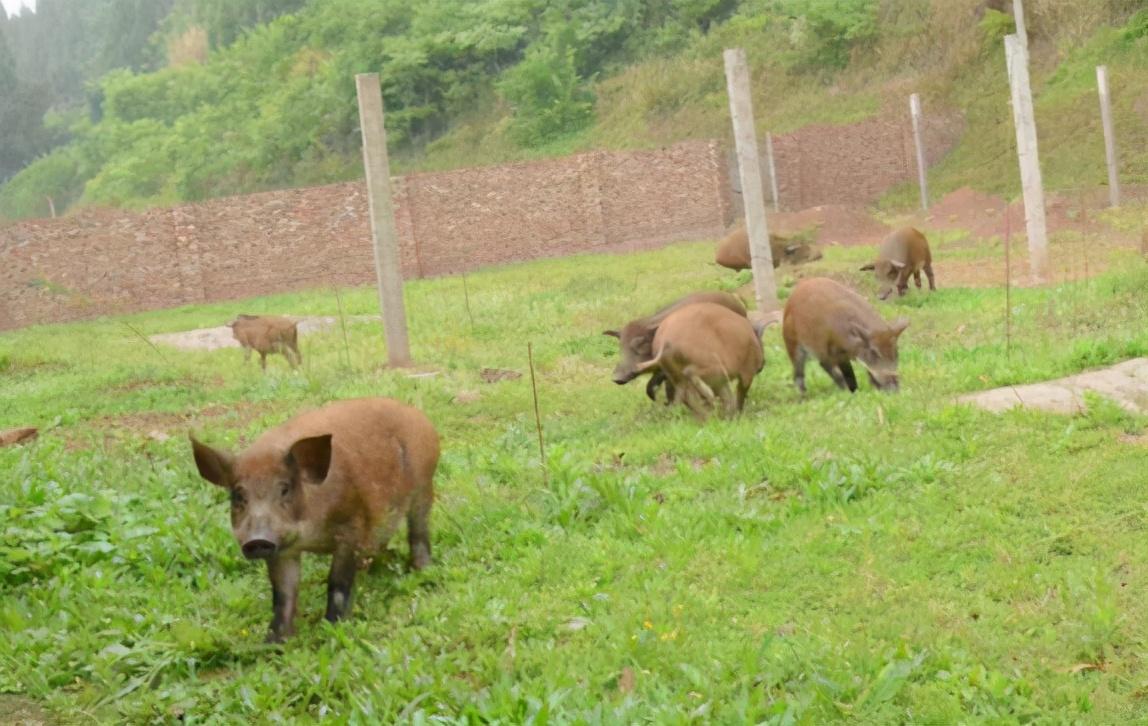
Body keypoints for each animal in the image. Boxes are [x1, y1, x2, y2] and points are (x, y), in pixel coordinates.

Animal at [188, 397, 438, 638]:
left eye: (285, 489)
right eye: (238, 495)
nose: (257, 539)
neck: (311, 538)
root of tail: (419, 417)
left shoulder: (350, 528)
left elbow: (337, 582)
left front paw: (332, 628)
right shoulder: (282, 550)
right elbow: (283, 594)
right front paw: (274, 642)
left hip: (424, 485)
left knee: (419, 530)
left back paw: (422, 570)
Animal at [629, 300, 762, 422]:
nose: (761, 366)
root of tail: (664, 344)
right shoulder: (745, 372)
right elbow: (739, 394)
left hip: (677, 376)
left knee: (685, 396)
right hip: (711, 365)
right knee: (691, 377)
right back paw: (709, 402)